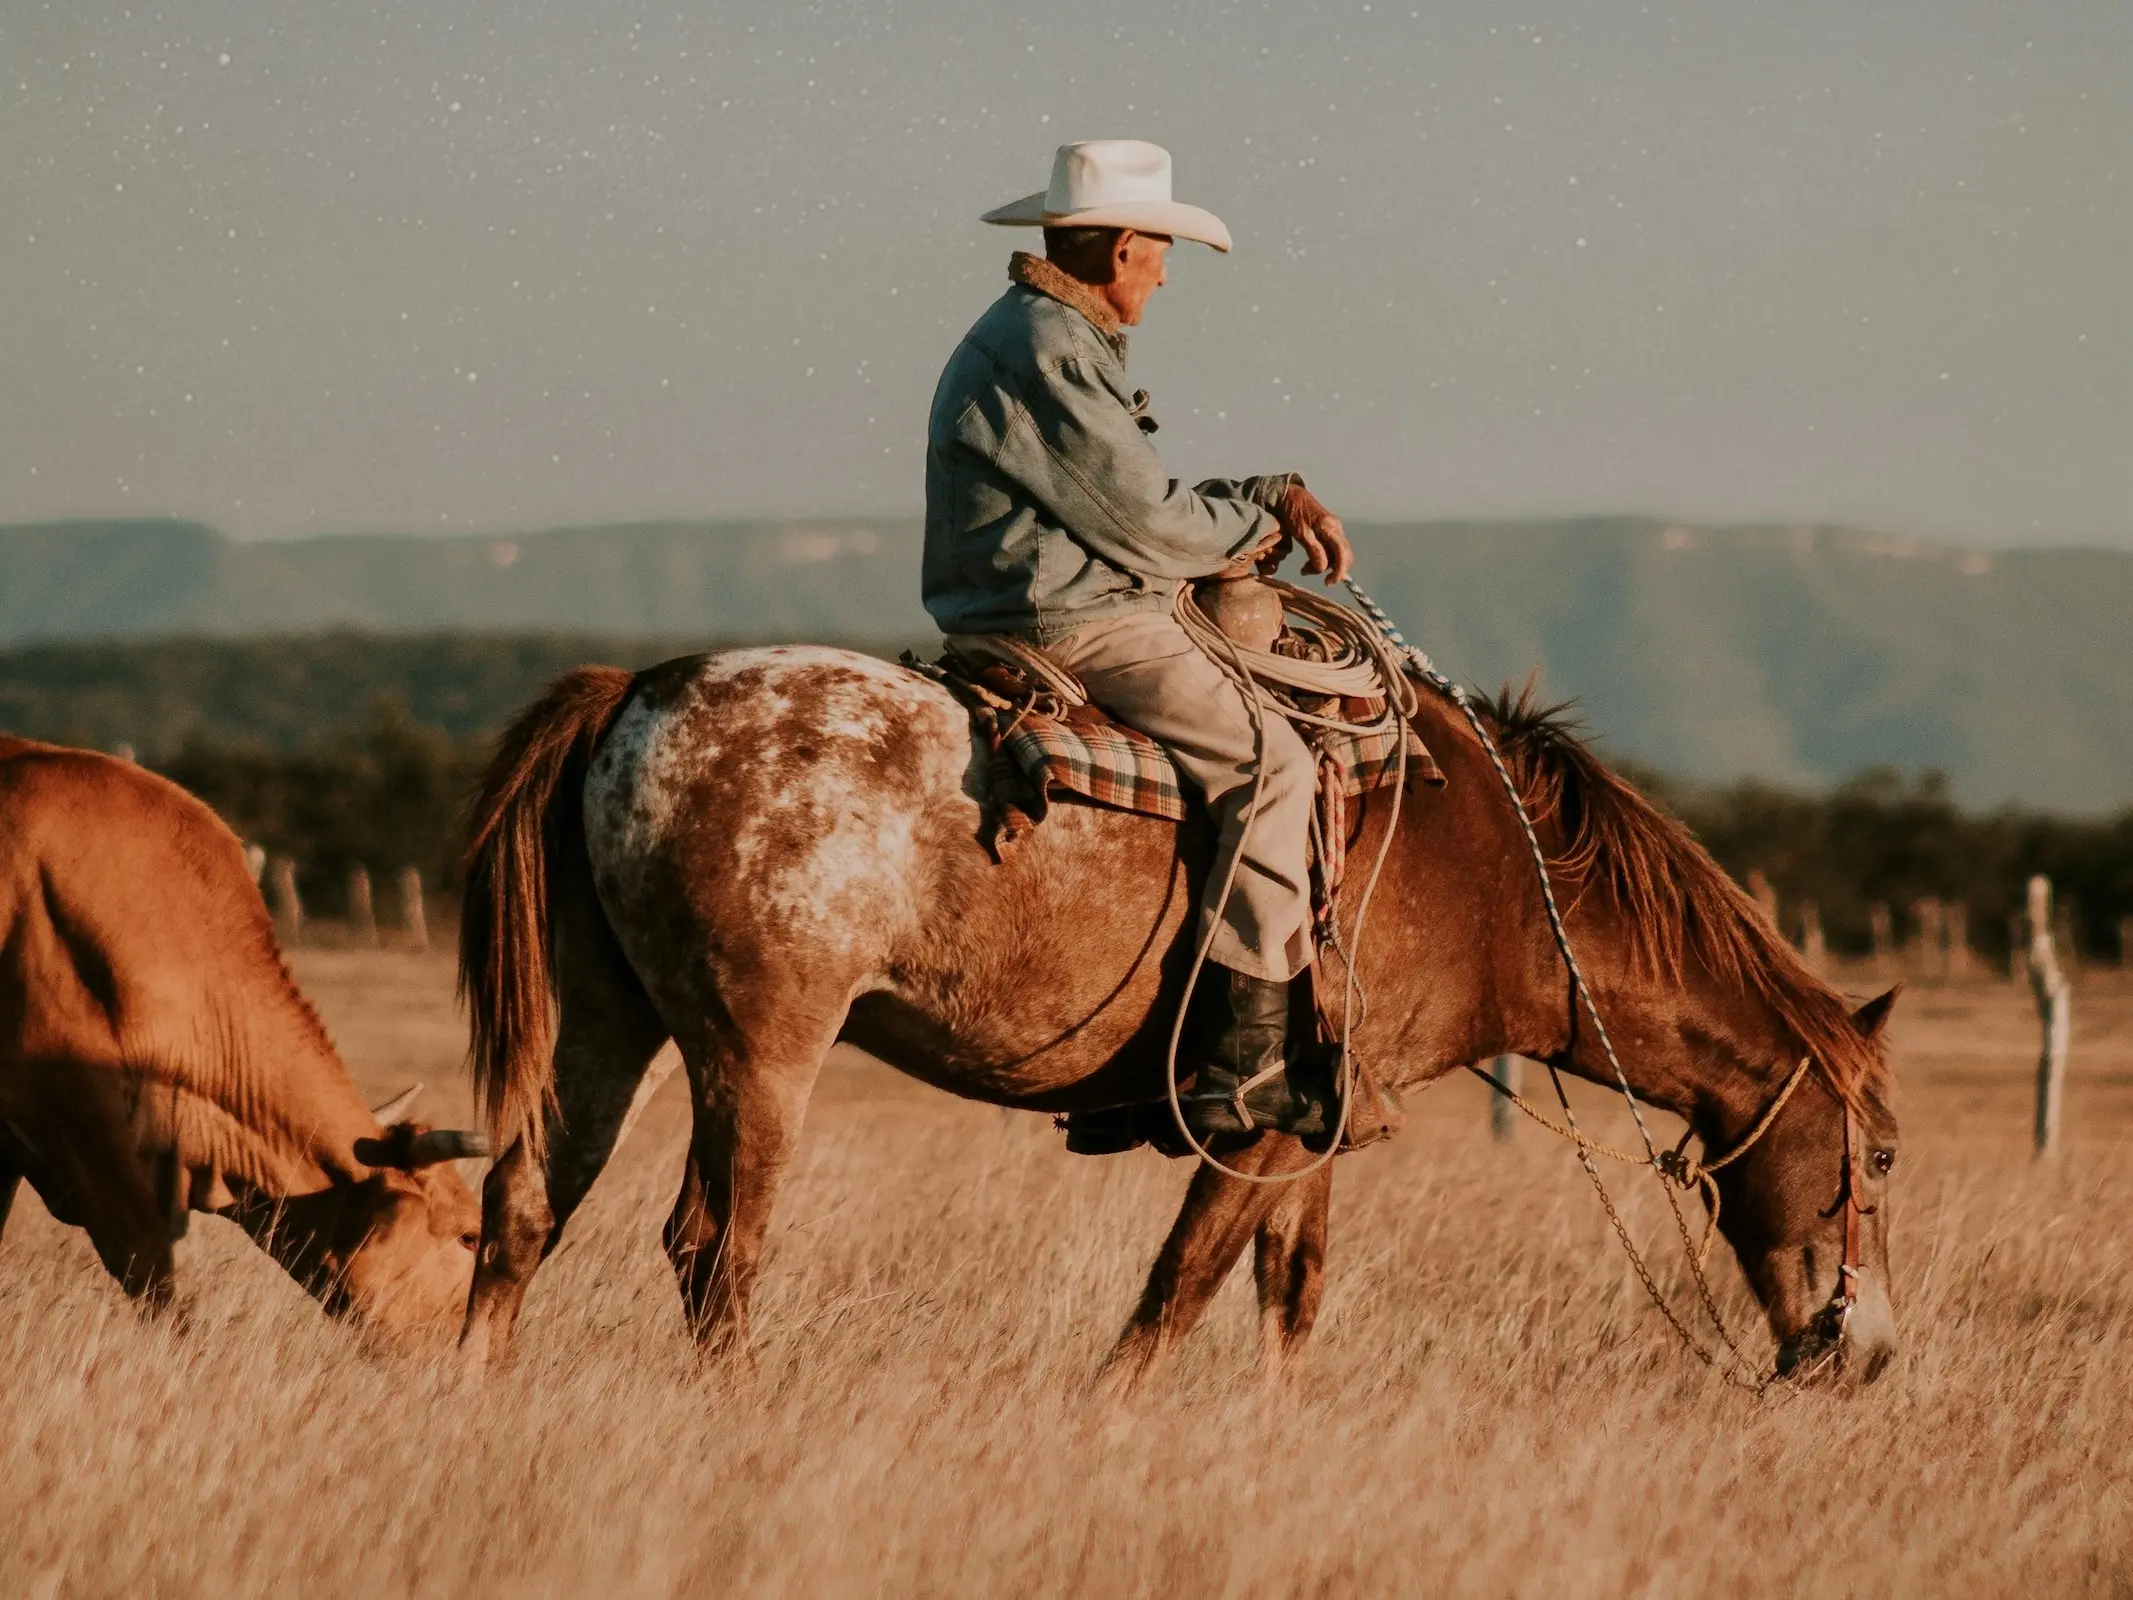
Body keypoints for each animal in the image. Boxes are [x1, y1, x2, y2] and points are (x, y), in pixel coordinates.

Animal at [454, 644, 1902, 1382]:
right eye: (1878, 1158)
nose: (1870, 1353)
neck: (1489, 871)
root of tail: (638, 690)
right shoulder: (1253, 1131)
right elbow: (1174, 1296)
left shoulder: (1319, 1126)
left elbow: (1285, 1295)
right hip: (758, 1054)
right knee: (715, 1250)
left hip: (611, 1030)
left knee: (524, 1207)